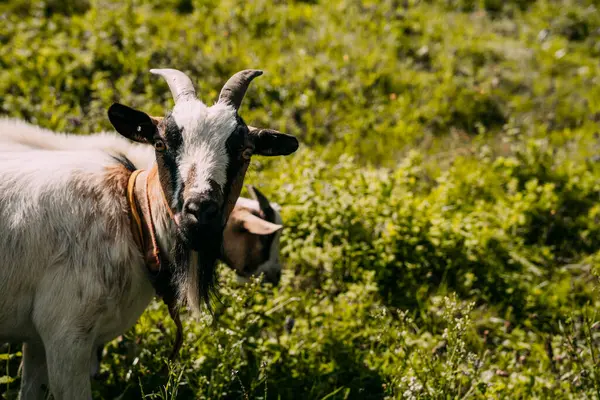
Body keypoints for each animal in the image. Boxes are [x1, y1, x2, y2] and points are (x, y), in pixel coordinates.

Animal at [0, 69, 298, 400]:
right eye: (160, 144)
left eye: (245, 151)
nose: (200, 210)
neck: (133, 215)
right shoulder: (66, 335)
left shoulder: (38, 340)